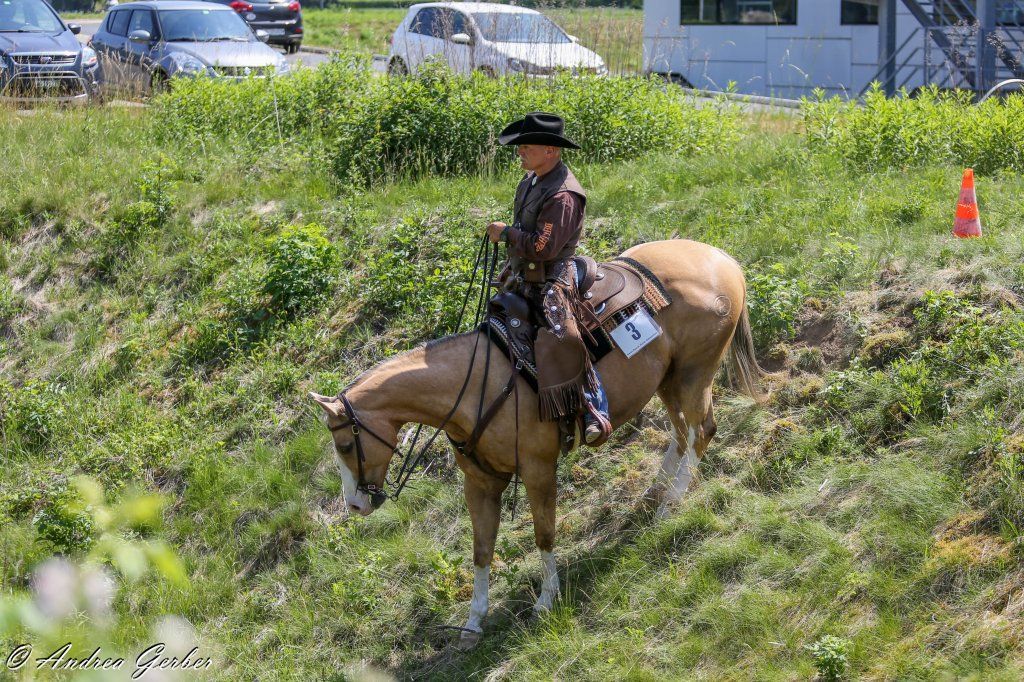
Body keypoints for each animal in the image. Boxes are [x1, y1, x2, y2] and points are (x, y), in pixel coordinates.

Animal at [310, 239, 762, 647]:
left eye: (346, 446)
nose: (355, 506)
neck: (475, 386)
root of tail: (721, 259)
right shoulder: (480, 483)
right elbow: (481, 549)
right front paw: (473, 623)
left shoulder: (538, 469)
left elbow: (544, 533)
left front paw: (546, 599)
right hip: (667, 379)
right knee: (681, 433)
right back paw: (654, 495)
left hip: (693, 373)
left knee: (701, 431)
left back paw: (670, 505)